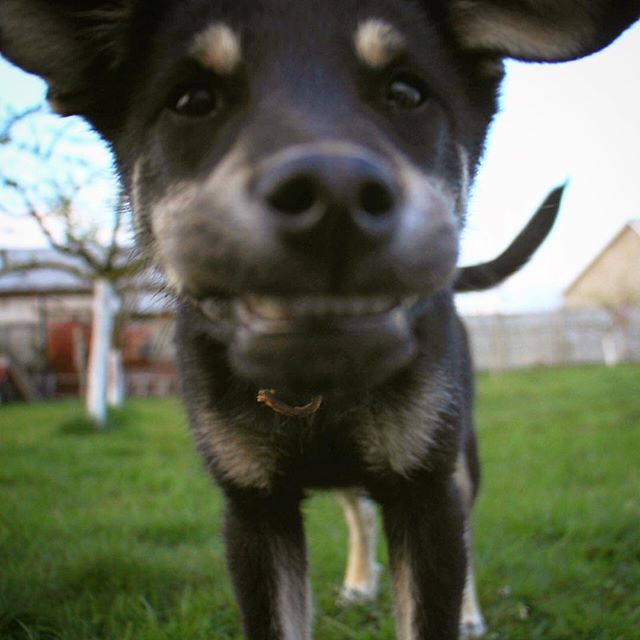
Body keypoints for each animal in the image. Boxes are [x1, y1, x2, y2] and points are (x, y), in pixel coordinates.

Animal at [2, 2, 636, 636]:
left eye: (406, 93)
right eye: (192, 100)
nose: (336, 195)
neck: (316, 389)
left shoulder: (425, 491)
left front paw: (457, 610)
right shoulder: (255, 509)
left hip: (459, 453)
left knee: (464, 528)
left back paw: (471, 612)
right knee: (360, 511)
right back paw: (359, 582)